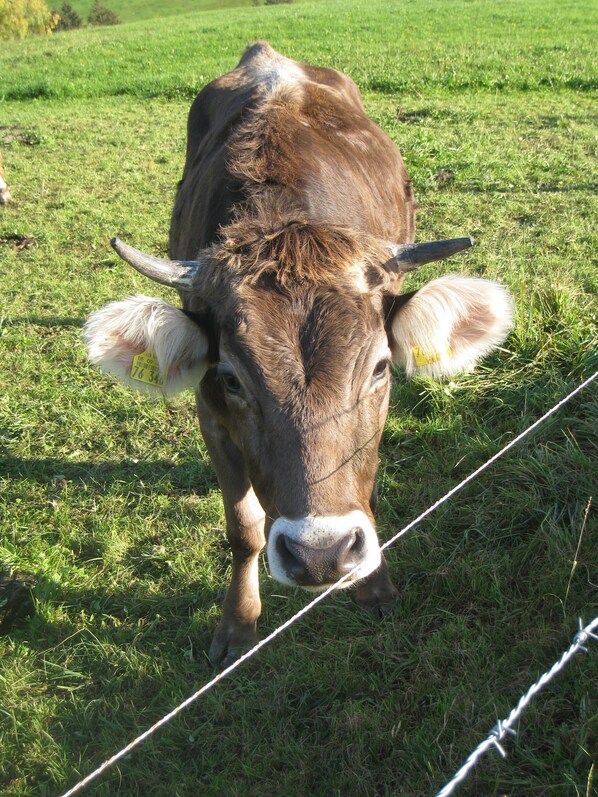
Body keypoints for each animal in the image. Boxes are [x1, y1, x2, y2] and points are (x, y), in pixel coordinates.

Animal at [84, 42, 512, 666]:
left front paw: (373, 586)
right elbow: (243, 527)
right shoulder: (210, 414)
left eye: (379, 368)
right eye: (233, 379)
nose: (321, 554)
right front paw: (237, 623)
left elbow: (367, 483)